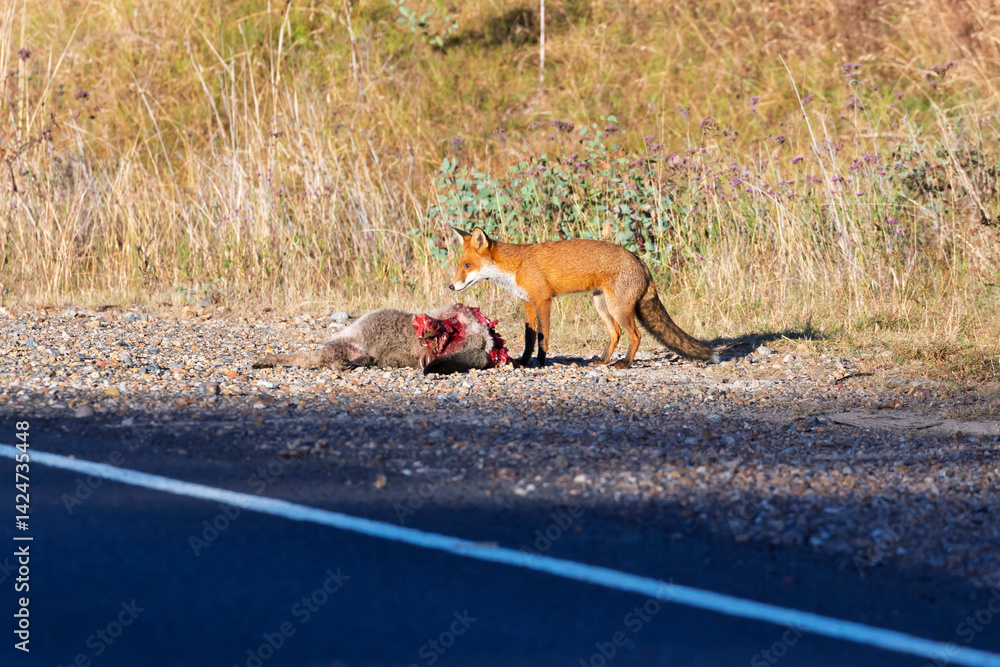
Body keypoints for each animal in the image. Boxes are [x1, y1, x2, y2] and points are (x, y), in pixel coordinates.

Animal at [449, 227, 717, 369]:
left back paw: (625, 363)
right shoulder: (527, 304)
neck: (515, 267)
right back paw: (602, 361)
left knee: (635, 335)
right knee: (616, 334)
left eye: (468, 266)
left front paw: (541, 362)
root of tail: (641, 262)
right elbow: (529, 338)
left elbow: (543, 338)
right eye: (459, 265)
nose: (451, 285)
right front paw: (523, 361)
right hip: (601, 305)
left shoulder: (543, 301)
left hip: (618, 308)